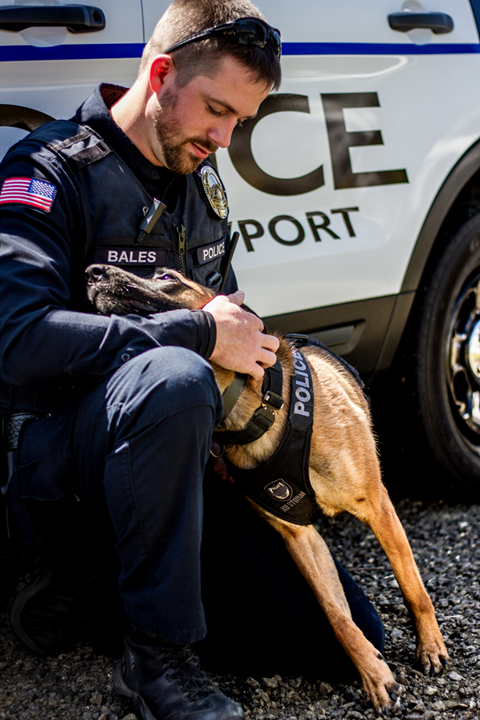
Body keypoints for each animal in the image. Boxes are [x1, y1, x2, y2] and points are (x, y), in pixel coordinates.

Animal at [85, 264, 450, 716]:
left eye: (167, 277)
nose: (93, 272)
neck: (258, 409)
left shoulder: (378, 505)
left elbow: (413, 587)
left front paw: (429, 645)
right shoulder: (300, 538)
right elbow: (338, 617)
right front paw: (372, 672)